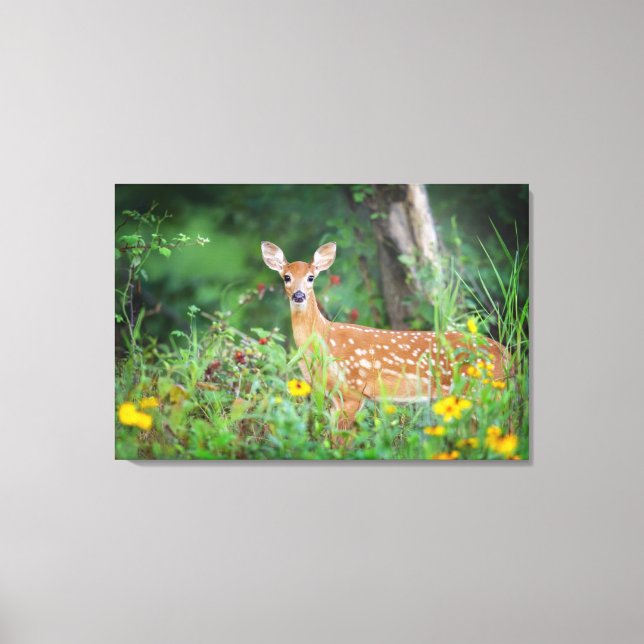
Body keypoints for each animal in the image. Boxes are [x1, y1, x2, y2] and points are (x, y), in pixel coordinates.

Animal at [261, 240, 510, 430]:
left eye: (311, 277)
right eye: (286, 277)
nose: (299, 295)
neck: (323, 340)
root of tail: (505, 353)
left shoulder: (353, 391)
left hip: (483, 388)